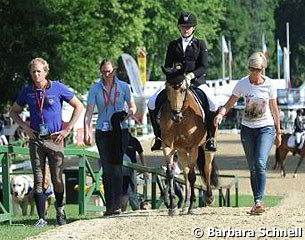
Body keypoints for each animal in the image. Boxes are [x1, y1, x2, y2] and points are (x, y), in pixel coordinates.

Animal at [158, 67, 217, 216]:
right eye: (167, 88)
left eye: (183, 89)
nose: (175, 116)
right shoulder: (168, 146)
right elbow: (170, 174)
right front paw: (173, 207)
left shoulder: (193, 147)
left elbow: (192, 176)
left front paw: (191, 207)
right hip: (181, 150)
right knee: (184, 172)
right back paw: (185, 205)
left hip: (205, 148)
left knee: (206, 168)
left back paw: (209, 198)